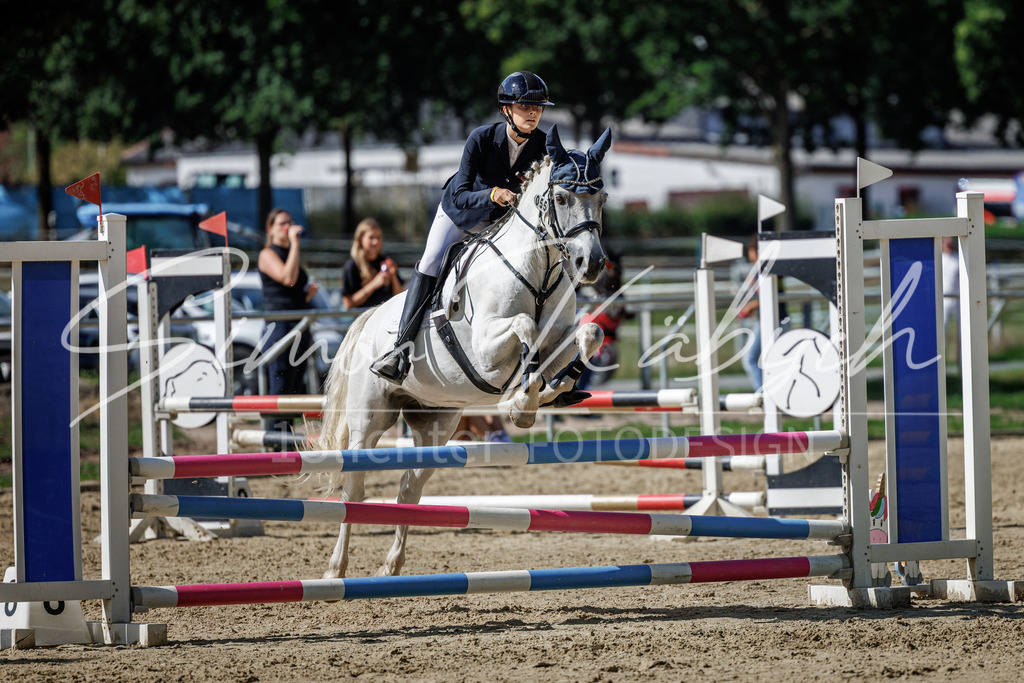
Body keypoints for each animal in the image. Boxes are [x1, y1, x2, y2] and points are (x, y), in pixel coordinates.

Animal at [318, 125, 611, 579]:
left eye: (602, 198)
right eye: (562, 198)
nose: (591, 264)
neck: (538, 269)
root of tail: (368, 319)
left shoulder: (558, 338)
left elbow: (589, 335)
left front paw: (554, 390)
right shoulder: (486, 352)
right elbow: (525, 329)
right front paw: (522, 404)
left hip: (434, 424)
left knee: (409, 489)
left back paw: (391, 566)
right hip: (368, 420)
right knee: (354, 488)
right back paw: (336, 569)